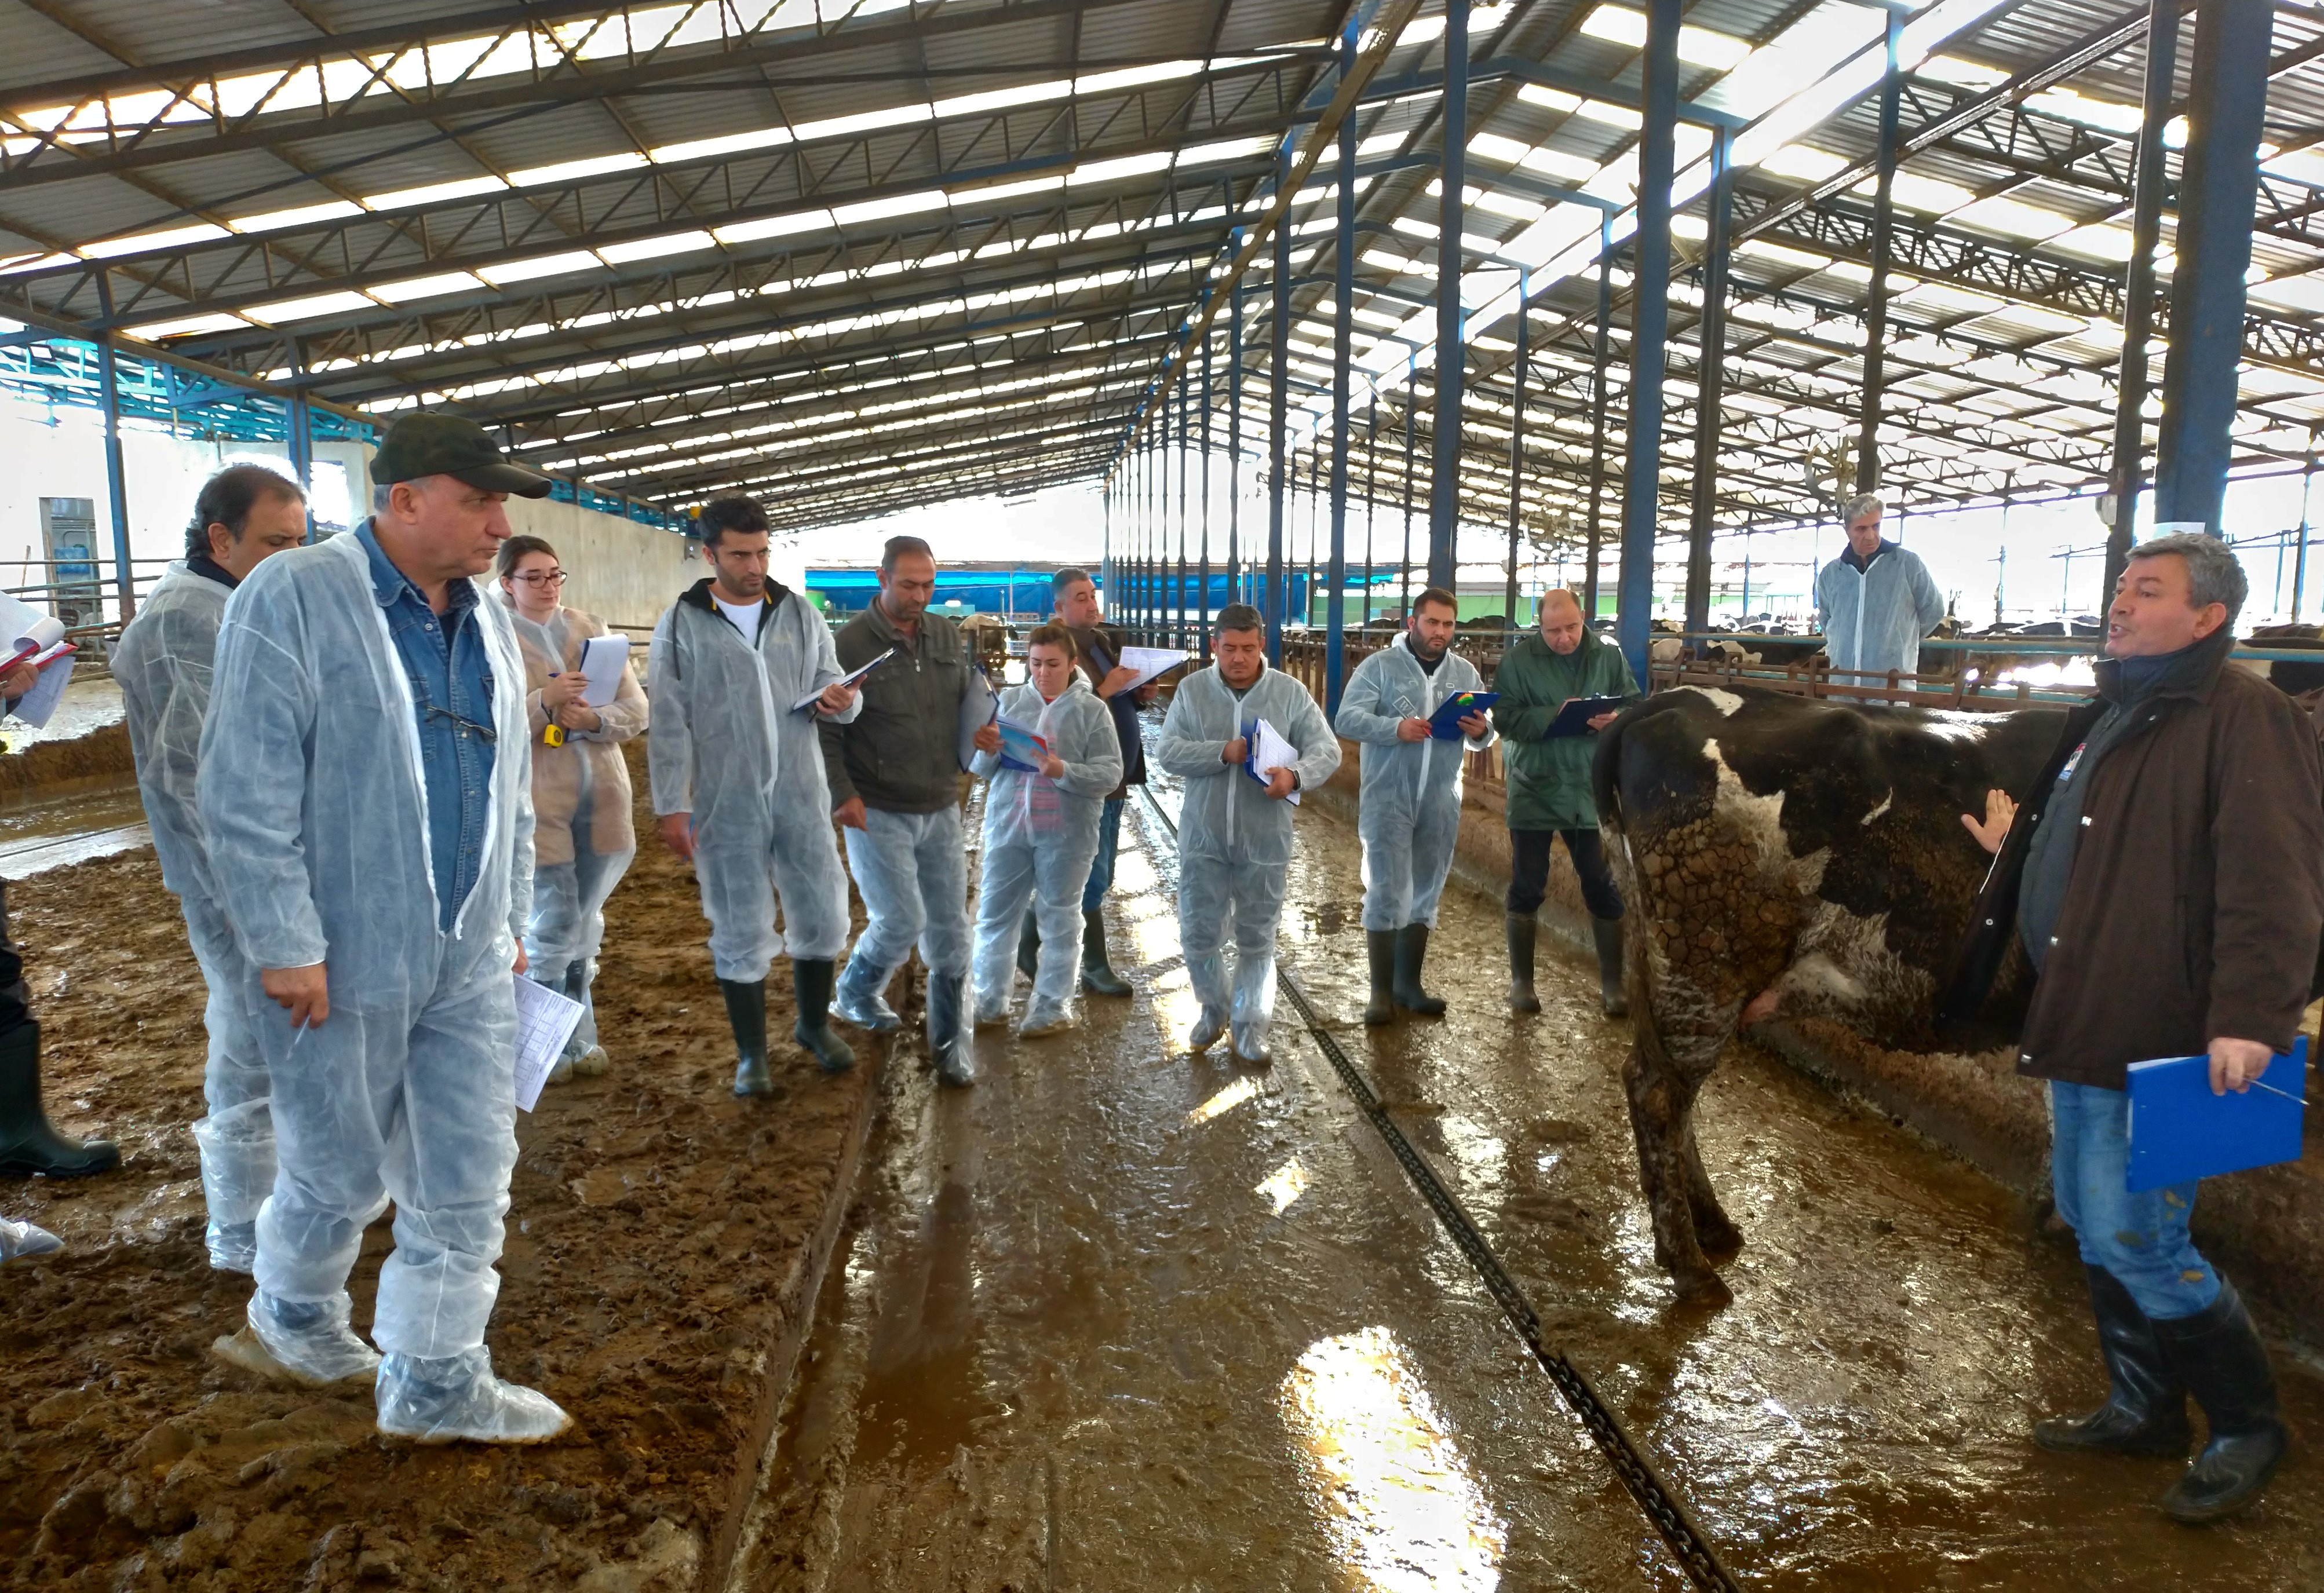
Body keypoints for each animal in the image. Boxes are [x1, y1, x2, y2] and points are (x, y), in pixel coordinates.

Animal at [1589, 687, 2063, 1309]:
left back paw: (1713, 1226)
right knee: (1658, 1093)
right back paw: (1692, 1267)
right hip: (1707, 959)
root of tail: (1669, 698)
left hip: (1664, 955)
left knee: (1668, 1088)